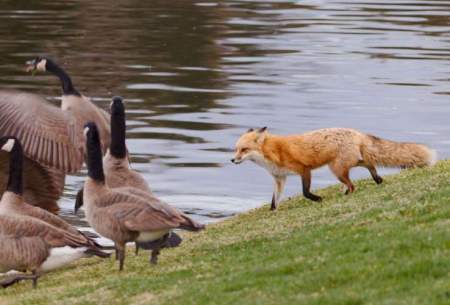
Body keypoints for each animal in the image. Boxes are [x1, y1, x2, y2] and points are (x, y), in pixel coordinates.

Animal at [232, 126, 436, 209]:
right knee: (369, 164)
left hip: (337, 169)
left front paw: (318, 199)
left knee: (353, 185)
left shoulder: (303, 169)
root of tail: (358, 133)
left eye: (244, 149)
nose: (232, 160)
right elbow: (274, 201)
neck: (272, 152)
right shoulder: (280, 178)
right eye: (236, 149)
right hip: (347, 164)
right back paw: (377, 179)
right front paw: (272, 212)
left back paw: (348, 194)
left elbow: (305, 192)